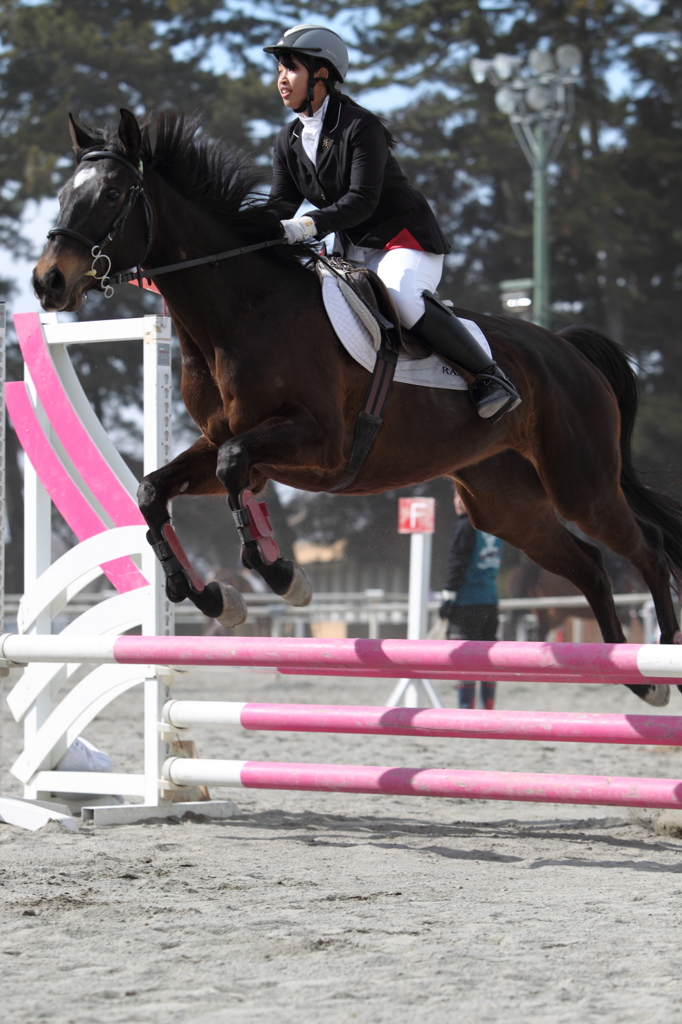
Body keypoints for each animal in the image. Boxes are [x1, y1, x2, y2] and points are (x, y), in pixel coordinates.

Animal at [33, 110, 682, 704]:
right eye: (63, 195)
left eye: (112, 194)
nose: (47, 283)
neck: (241, 312)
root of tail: (569, 350)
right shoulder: (233, 445)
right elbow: (155, 491)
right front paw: (218, 598)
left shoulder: (316, 443)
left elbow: (232, 469)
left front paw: (285, 577)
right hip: (506, 504)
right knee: (590, 564)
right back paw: (635, 676)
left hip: (580, 484)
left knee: (647, 548)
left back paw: (663, 656)